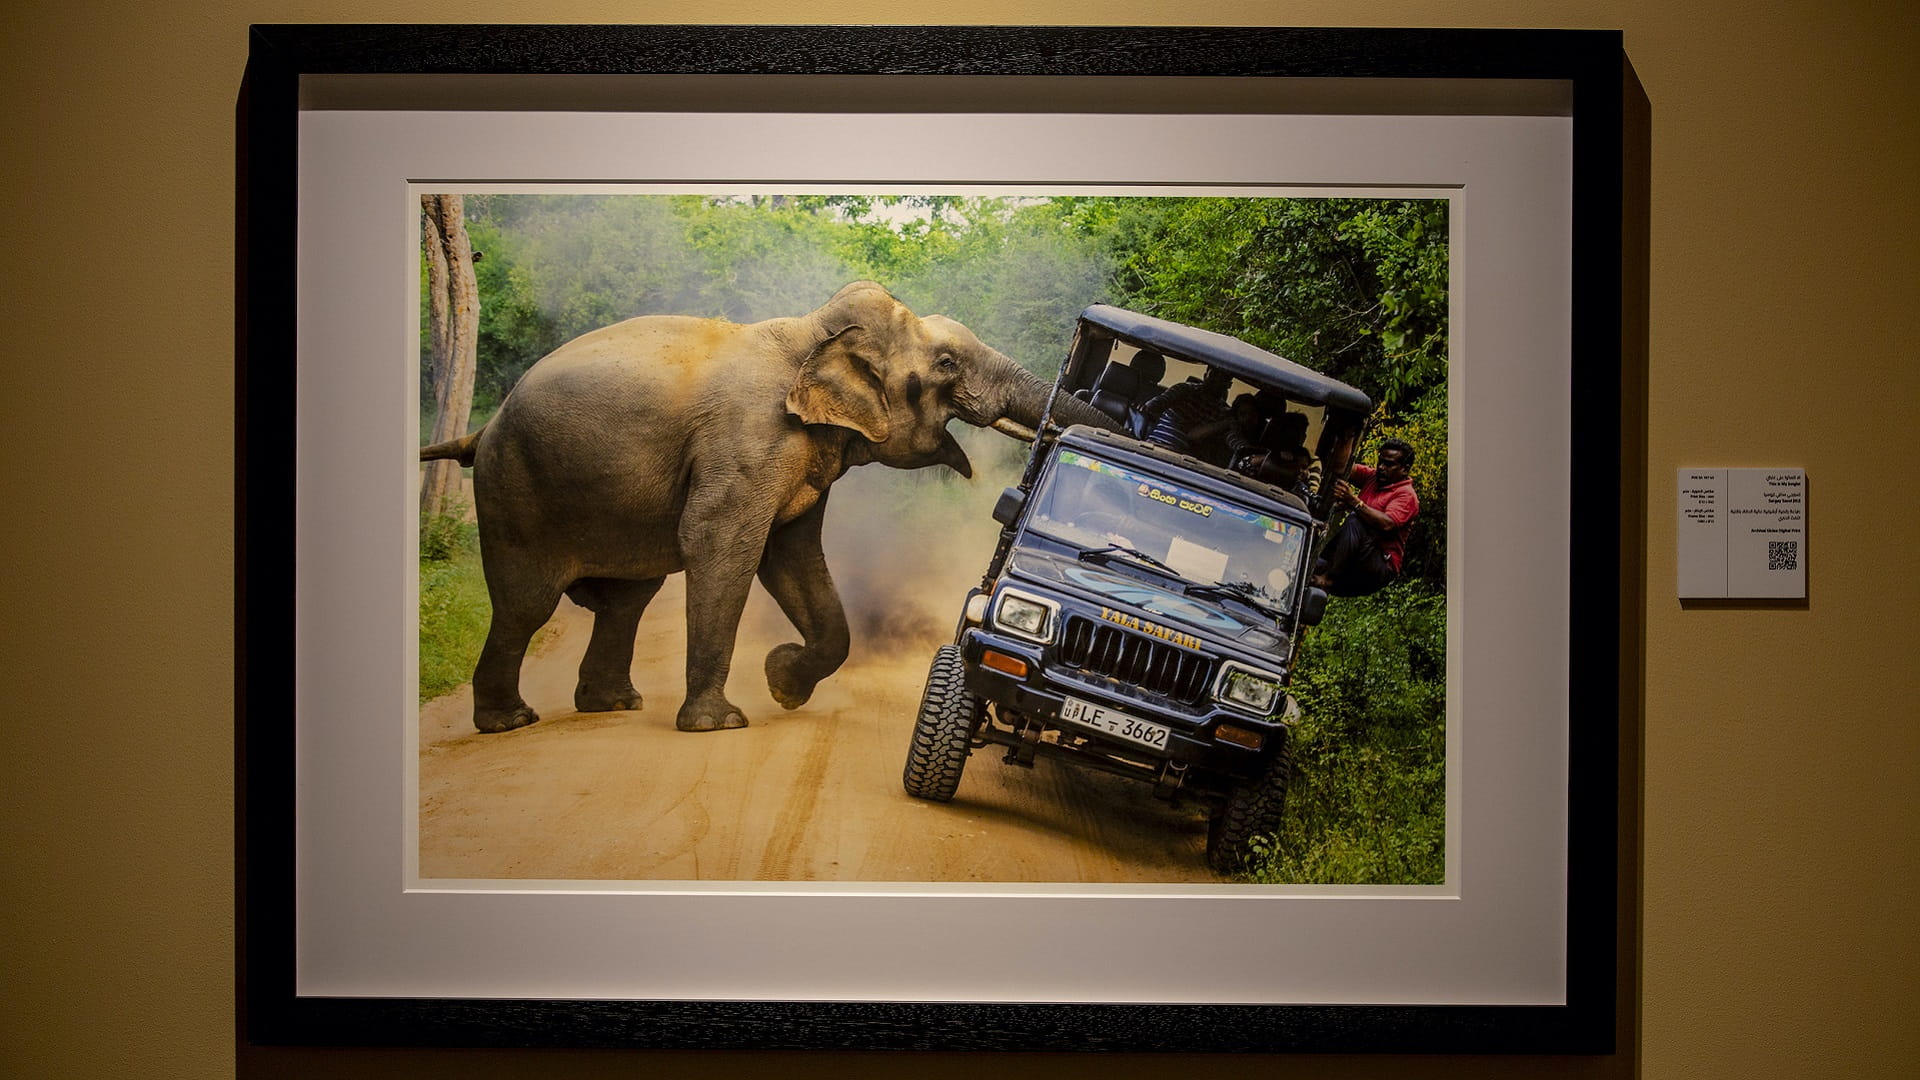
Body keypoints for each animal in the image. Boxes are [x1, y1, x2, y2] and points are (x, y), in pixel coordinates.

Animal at [420, 281, 1119, 734]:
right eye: (946, 364)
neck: (812, 334)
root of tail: (484, 429)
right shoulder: (749, 439)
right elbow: (722, 544)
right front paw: (721, 723)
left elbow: (793, 556)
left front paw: (782, 683)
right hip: (515, 488)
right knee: (527, 604)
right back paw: (511, 721)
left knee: (627, 600)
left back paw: (613, 706)